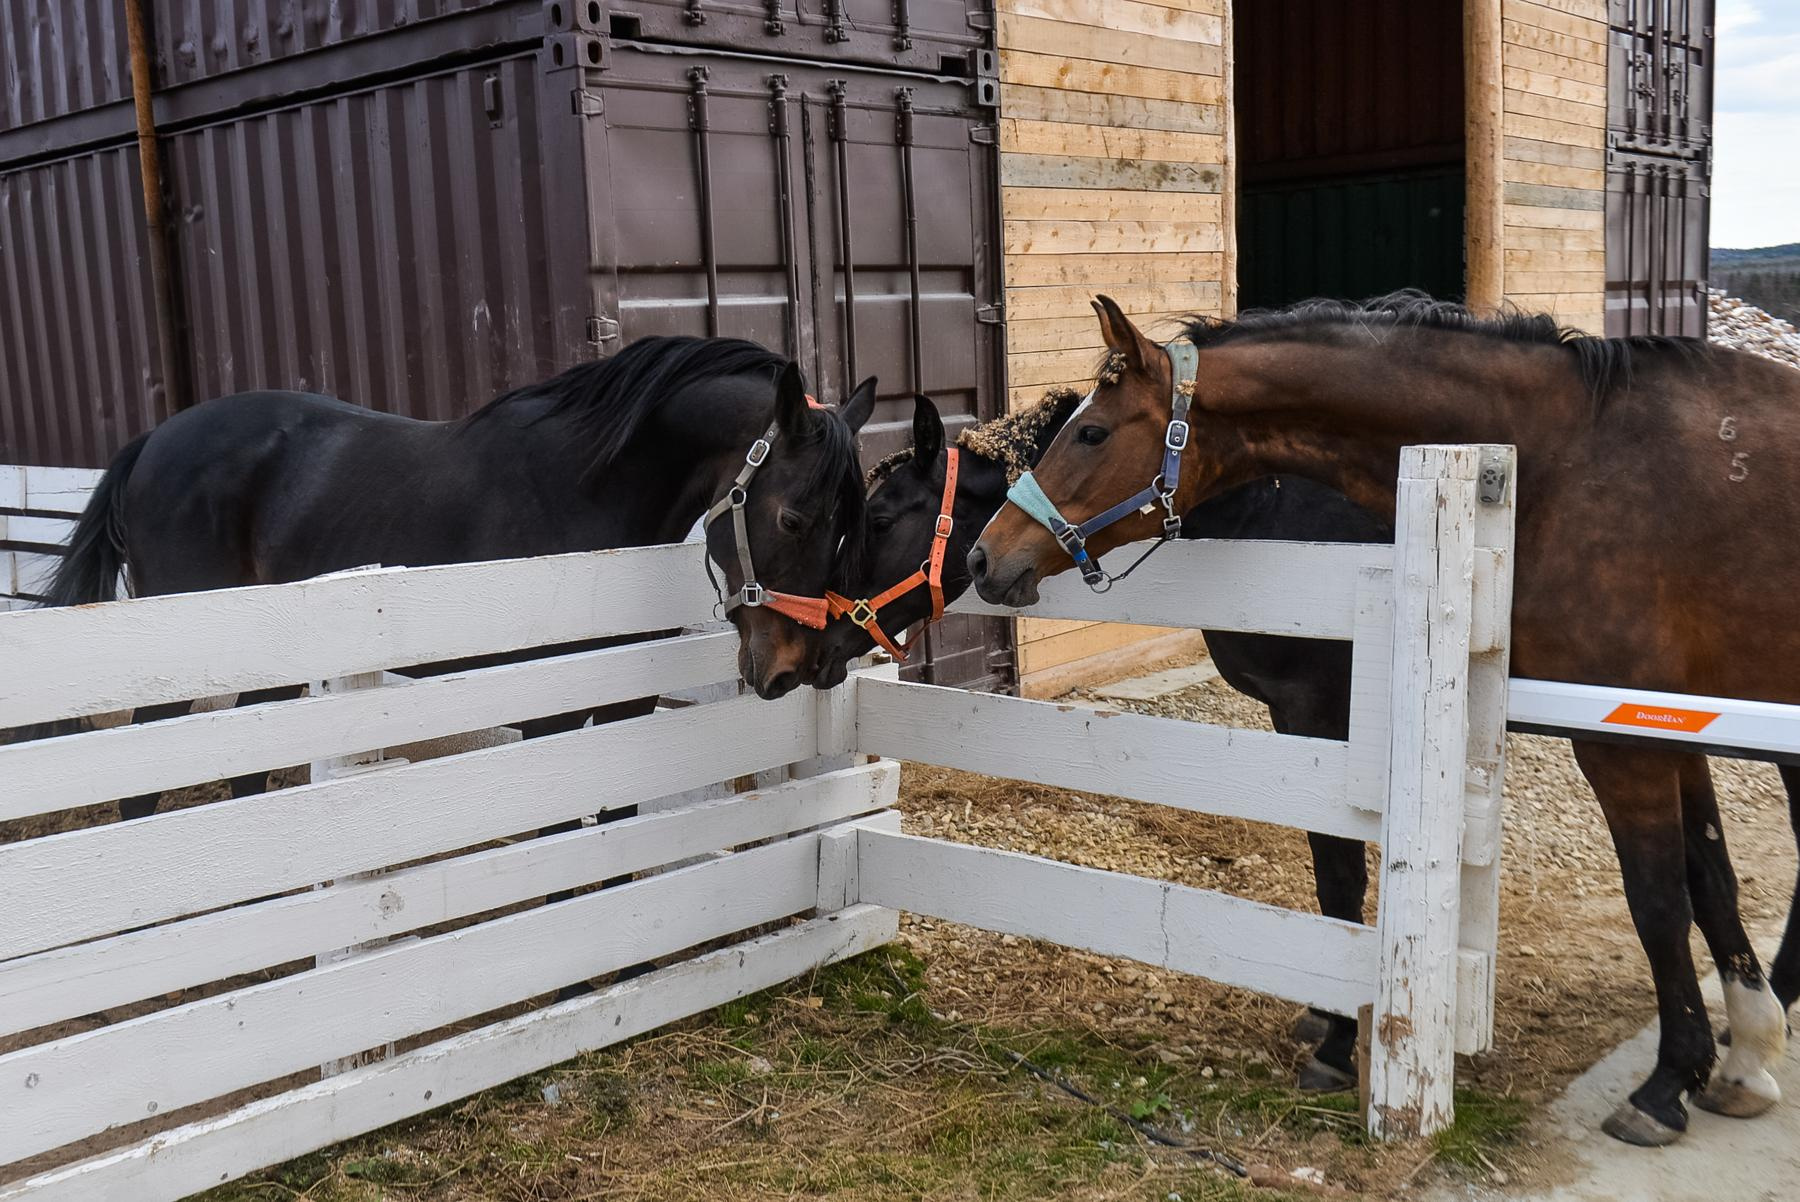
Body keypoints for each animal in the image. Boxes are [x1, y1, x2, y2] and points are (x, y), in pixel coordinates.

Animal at [972, 291, 1800, 1144]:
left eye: (1094, 433)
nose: (984, 560)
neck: (1564, 460)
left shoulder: (1607, 737)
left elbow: (1655, 897)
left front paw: (1669, 1081)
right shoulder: (1667, 725)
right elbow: (1711, 878)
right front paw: (1741, 1055)